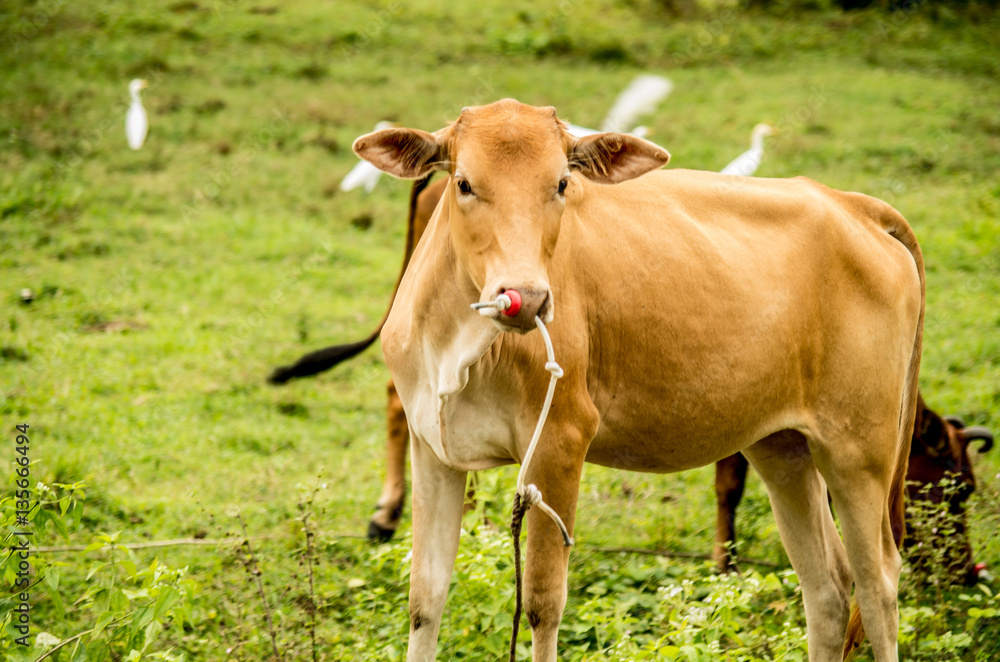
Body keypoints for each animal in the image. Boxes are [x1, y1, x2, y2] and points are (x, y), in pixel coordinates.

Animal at [272, 175, 992, 580]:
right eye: (956, 492)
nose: (969, 574)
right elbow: (729, 481)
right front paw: (724, 561)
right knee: (401, 404)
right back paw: (396, 513)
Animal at [358, 100, 920, 662]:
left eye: (562, 183)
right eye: (464, 183)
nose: (528, 298)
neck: (461, 346)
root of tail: (852, 204)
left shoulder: (560, 442)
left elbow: (542, 605)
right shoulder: (432, 448)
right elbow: (425, 598)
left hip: (858, 450)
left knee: (878, 584)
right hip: (783, 446)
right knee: (827, 586)